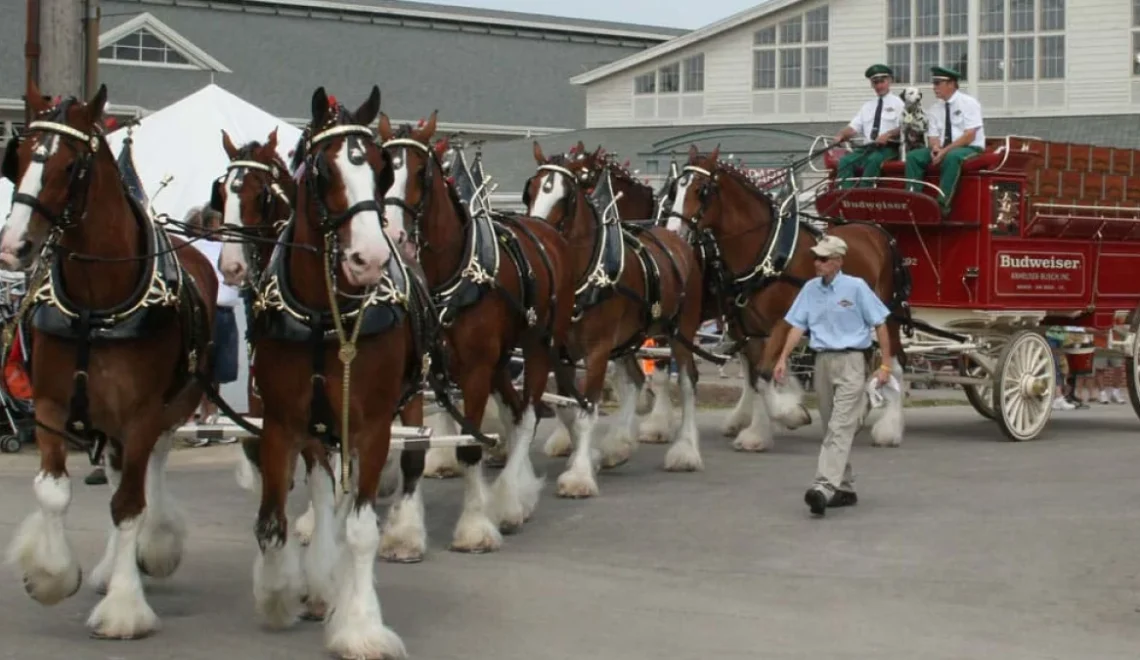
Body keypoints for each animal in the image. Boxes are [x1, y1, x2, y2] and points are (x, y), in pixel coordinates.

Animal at [0, 78, 216, 638]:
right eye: (21, 155)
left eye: (70, 166)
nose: (14, 246)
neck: (94, 306)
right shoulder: (50, 406)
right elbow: (54, 491)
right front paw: (51, 576)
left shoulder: (141, 413)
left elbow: (129, 506)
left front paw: (124, 607)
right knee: (121, 471)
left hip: (172, 404)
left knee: (150, 469)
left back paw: (150, 549)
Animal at [235, 87, 419, 660]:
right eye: (322, 171)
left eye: (382, 168)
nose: (368, 259)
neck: (324, 315)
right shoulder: (280, 422)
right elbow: (271, 522)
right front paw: (278, 595)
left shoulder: (374, 425)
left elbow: (360, 530)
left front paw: (359, 626)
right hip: (318, 429)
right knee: (321, 488)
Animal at [376, 108, 574, 549]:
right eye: (382, 170)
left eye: (420, 173)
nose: (393, 234)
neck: (445, 277)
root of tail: (546, 232)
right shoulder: (419, 372)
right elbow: (413, 450)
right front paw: (406, 534)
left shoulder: (475, 372)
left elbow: (469, 450)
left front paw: (475, 526)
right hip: (501, 362)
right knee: (515, 413)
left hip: (537, 346)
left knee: (528, 415)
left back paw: (512, 501)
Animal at [522, 143, 702, 496]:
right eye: (531, 190)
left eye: (567, 196)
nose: (537, 237)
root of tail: (677, 239)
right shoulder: (560, 351)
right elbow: (567, 407)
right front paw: (588, 456)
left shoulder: (597, 350)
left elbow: (587, 409)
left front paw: (579, 475)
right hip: (629, 339)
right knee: (636, 378)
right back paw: (618, 446)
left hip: (679, 332)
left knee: (687, 384)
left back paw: (685, 451)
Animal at [665, 143, 902, 453]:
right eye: (675, 189)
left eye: (701, 189)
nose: (673, 232)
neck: (766, 252)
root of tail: (876, 231)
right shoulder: (751, 328)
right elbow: (758, 376)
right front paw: (761, 429)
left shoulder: (784, 321)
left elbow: (765, 372)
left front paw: (789, 413)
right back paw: (856, 415)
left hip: (887, 314)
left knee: (893, 361)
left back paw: (889, 429)